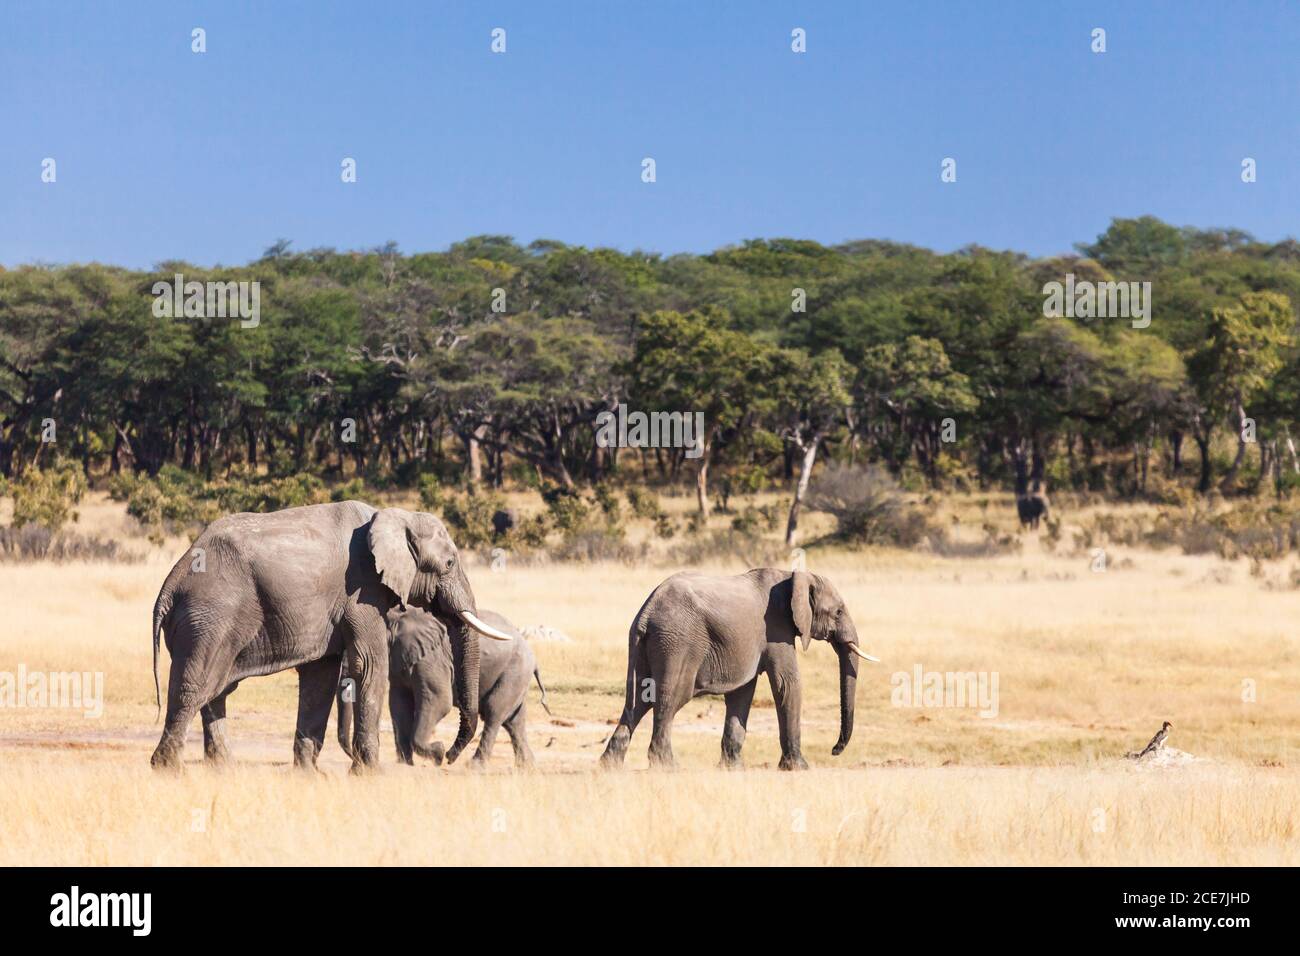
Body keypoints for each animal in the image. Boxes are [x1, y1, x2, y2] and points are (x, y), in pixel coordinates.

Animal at [149, 504, 509, 775]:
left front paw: (310, 775)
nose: (445, 755)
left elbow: (320, 676)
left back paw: (224, 769)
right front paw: (370, 774)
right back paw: (169, 769)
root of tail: (170, 583)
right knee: (197, 684)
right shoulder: (362, 590)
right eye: (448, 563)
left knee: (217, 690)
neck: (393, 516)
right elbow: (369, 665)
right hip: (211, 615)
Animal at [338, 613, 546, 770]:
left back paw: (474, 766)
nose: (353, 756)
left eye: (358, 657)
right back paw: (526, 766)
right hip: (515, 676)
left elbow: (439, 701)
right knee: (514, 720)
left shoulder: (431, 658)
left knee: (494, 713)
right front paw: (405, 765)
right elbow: (399, 705)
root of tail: (534, 658)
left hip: (514, 671)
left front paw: (438, 754)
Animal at [595, 567, 878, 770]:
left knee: (637, 700)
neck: (792, 575)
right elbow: (787, 684)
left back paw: (610, 766)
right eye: (838, 612)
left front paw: (732, 768)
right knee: (669, 698)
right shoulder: (777, 629)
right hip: (678, 642)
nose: (834, 750)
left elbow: (743, 691)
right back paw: (667, 766)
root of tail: (647, 611)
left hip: (646, 644)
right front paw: (799, 768)